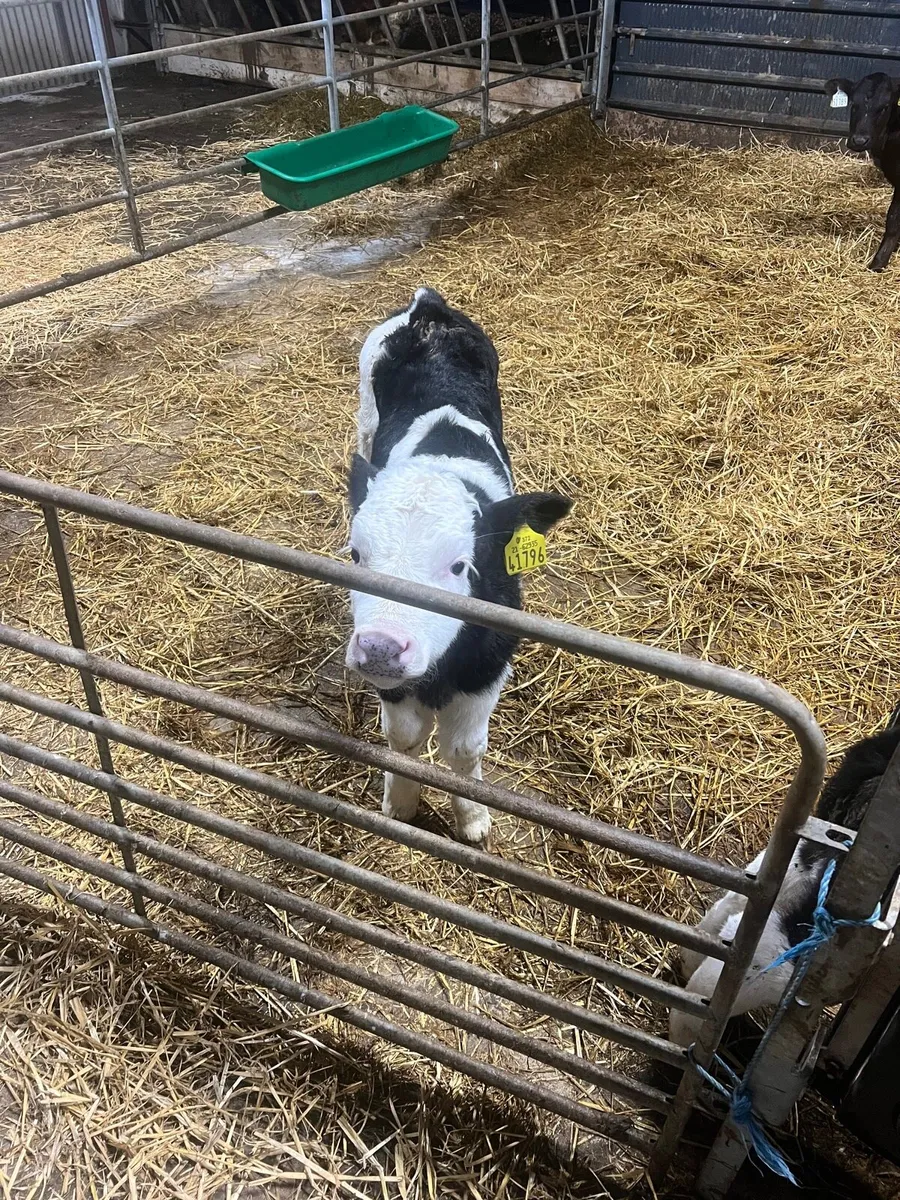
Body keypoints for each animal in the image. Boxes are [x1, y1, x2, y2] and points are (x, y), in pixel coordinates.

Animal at [344, 288, 571, 846]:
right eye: (356, 554)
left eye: (459, 566)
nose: (380, 647)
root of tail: (427, 307)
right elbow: (403, 738)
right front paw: (400, 804)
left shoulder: (489, 667)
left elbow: (464, 751)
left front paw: (472, 820)